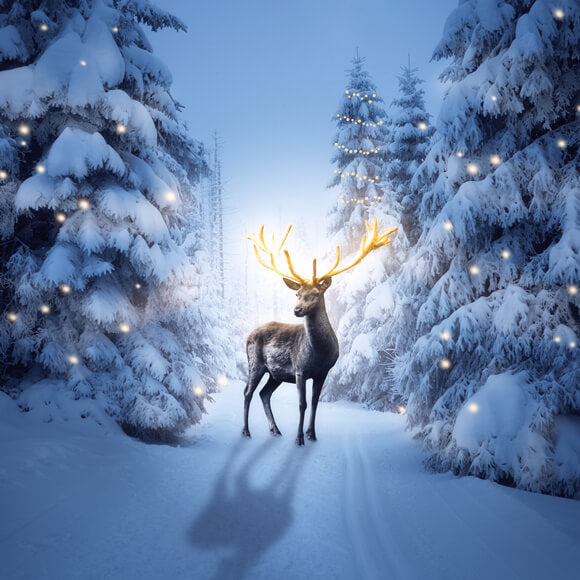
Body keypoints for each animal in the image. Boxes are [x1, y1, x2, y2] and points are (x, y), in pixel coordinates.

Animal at [241, 220, 398, 446]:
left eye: (315, 294)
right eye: (297, 294)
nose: (297, 310)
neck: (319, 353)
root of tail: (248, 334)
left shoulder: (323, 372)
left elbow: (315, 403)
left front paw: (312, 434)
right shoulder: (300, 370)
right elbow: (302, 404)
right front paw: (299, 438)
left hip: (275, 374)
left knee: (264, 393)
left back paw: (275, 430)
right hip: (255, 363)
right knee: (248, 392)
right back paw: (246, 431)